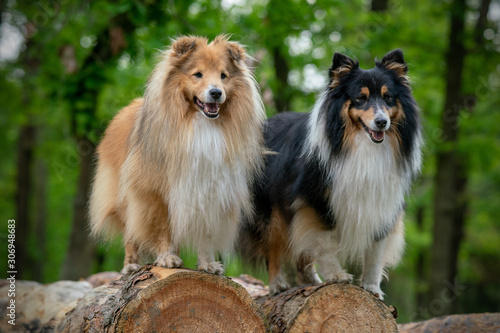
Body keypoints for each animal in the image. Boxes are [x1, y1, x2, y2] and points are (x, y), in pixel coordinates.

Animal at [89, 35, 266, 274]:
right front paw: (167, 258)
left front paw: (208, 263)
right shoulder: (155, 191)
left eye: (223, 75)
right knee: (130, 232)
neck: (201, 124)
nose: (216, 93)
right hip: (124, 194)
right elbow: (162, 226)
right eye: (198, 74)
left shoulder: (210, 191)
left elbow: (206, 232)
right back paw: (131, 265)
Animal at [238, 48, 422, 296]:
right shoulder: (315, 199)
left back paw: (310, 282)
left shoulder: (382, 202)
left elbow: (375, 250)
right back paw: (278, 285)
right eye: (361, 98)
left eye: (387, 97)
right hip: (271, 209)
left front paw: (372, 288)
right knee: (273, 246)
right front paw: (337, 275)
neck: (361, 145)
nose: (382, 122)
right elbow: (324, 241)